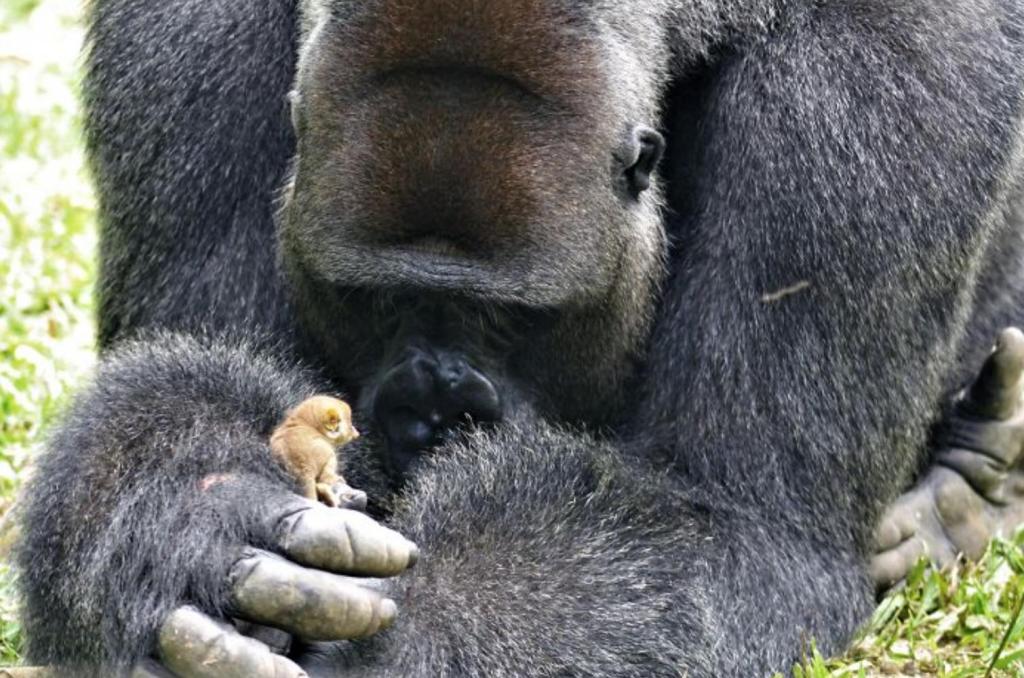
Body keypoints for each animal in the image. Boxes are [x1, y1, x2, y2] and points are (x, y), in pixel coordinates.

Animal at [14, 0, 1024, 675]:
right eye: (376, 301)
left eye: (514, 318)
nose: (434, 413)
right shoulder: (180, 36)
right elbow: (197, 371)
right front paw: (184, 506)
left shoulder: (880, 82)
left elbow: (739, 523)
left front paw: (417, 626)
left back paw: (969, 487)